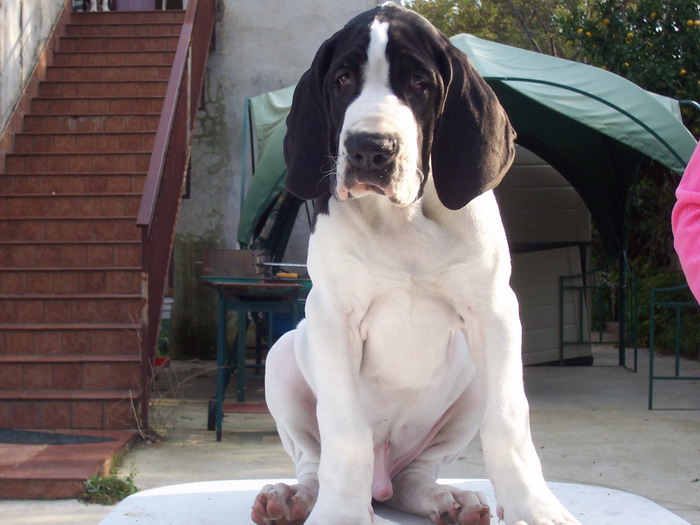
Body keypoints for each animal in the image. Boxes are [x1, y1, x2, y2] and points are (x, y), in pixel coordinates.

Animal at [252, 4, 580, 525]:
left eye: (420, 84)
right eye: (342, 79)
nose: (370, 149)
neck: (401, 221)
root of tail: (381, 482)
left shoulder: (495, 313)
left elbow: (508, 421)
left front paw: (533, 508)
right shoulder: (332, 319)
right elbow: (345, 429)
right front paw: (340, 514)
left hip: (468, 385)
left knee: (415, 476)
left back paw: (449, 499)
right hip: (282, 357)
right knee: (313, 459)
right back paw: (294, 497)